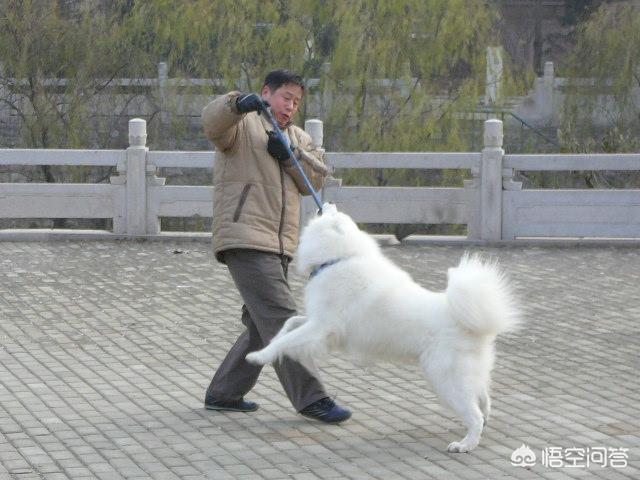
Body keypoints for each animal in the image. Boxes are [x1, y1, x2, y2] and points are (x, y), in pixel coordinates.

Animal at [246, 204, 520, 452]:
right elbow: (288, 325)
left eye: (333, 212)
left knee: (474, 413)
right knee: (484, 401)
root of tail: (470, 322)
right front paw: (270, 342)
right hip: (466, 376)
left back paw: (465, 445)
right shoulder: (318, 325)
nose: (327, 202)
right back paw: (480, 428)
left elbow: (287, 340)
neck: (339, 259)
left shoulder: (321, 327)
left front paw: (258, 356)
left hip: (445, 379)